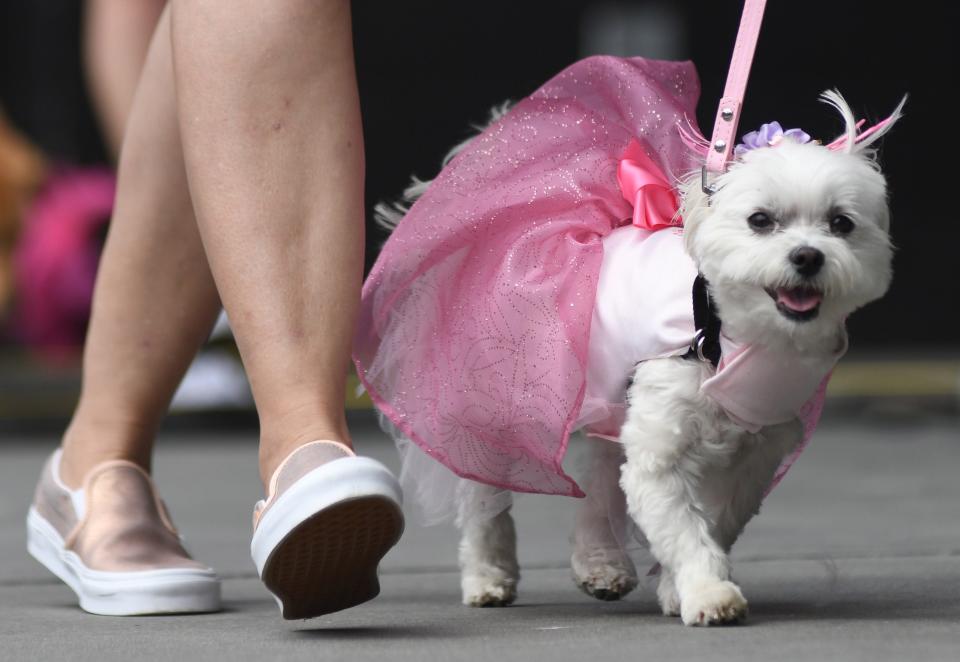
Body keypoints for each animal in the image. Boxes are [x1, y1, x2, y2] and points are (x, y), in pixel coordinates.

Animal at [372, 89, 896, 628]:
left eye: (841, 223)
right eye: (760, 220)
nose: (808, 256)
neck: (727, 340)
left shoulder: (755, 455)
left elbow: (712, 522)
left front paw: (677, 587)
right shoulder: (661, 450)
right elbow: (684, 530)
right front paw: (706, 591)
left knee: (601, 481)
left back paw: (599, 562)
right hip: (498, 401)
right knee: (483, 492)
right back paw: (487, 574)